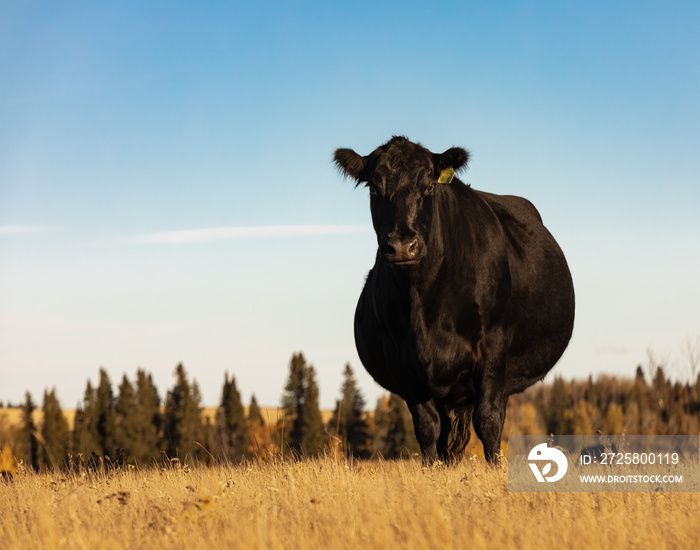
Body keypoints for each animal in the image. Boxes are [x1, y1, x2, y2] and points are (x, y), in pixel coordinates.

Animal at [334, 137, 576, 462]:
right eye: (373, 188)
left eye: (428, 186)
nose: (402, 246)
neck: (424, 301)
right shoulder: (404, 362)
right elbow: (427, 428)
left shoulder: (493, 348)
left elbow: (487, 421)